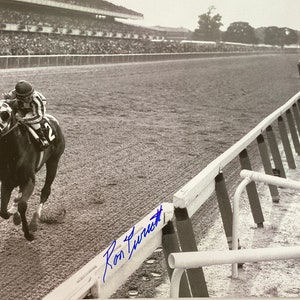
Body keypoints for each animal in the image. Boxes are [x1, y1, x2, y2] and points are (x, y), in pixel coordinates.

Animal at [0, 101, 65, 241]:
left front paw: (28, 233)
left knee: (45, 191)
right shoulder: (7, 182)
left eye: (5, 114)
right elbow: (3, 211)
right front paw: (13, 213)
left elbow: (23, 205)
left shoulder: (29, 180)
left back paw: (34, 221)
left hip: (54, 161)